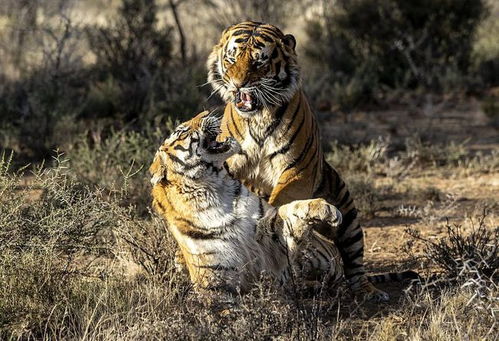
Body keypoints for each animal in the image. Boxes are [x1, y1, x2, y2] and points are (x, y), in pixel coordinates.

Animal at [148, 110, 346, 296]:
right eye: (181, 131)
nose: (206, 113)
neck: (213, 189)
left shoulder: (272, 236)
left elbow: (288, 210)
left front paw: (327, 210)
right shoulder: (214, 284)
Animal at [205, 20, 420, 300]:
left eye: (259, 62)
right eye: (231, 59)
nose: (237, 85)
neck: (258, 117)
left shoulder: (297, 170)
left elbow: (281, 203)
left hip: (349, 218)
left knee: (354, 268)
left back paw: (367, 291)